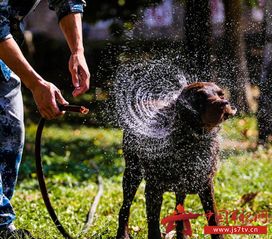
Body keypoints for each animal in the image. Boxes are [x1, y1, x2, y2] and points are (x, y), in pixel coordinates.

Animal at [116, 82, 236, 239]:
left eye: (221, 94)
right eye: (199, 98)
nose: (224, 103)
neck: (191, 142)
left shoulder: (206, 185)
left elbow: (214, 221)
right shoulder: (153, 189)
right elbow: (153, 226)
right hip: (132, 174)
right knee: (125, 207)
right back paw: (122, 234)